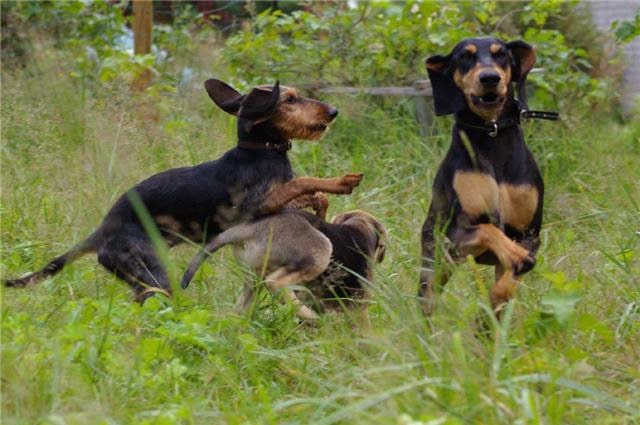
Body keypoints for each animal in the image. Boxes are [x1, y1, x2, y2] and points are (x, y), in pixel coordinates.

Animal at [182, 207, 388, 320]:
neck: (358, 227)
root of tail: (252, 227)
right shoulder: (360, 305)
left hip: (253, 279)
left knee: (242, 307)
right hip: (320, 250)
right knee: (275, 282)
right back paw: (307, 314)